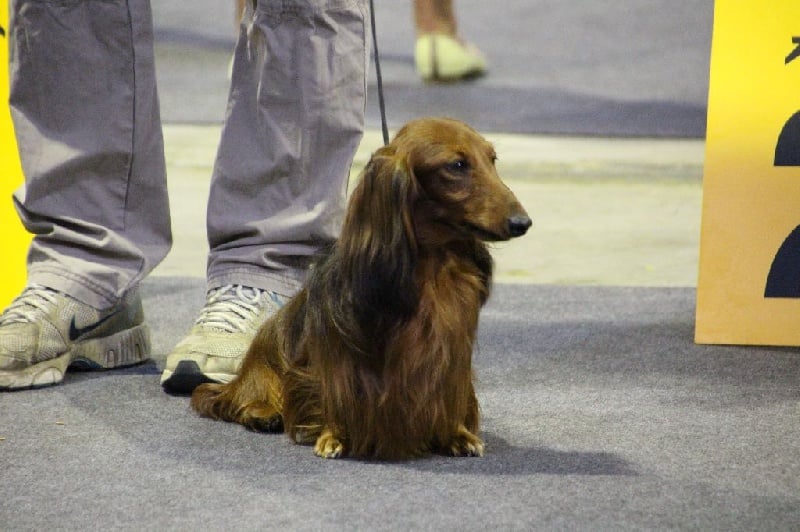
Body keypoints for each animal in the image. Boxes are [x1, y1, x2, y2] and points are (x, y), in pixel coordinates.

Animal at [191, 117, 531, 460]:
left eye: (492, 159)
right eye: (457, 165)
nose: (523, 223)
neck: (430, 266)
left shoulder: (452, 351)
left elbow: (452, 392)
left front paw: (455, 433)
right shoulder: (335, 358)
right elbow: (331, 390)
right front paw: (333, 435)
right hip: (263, 366)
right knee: (242, 398)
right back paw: (262, 412)